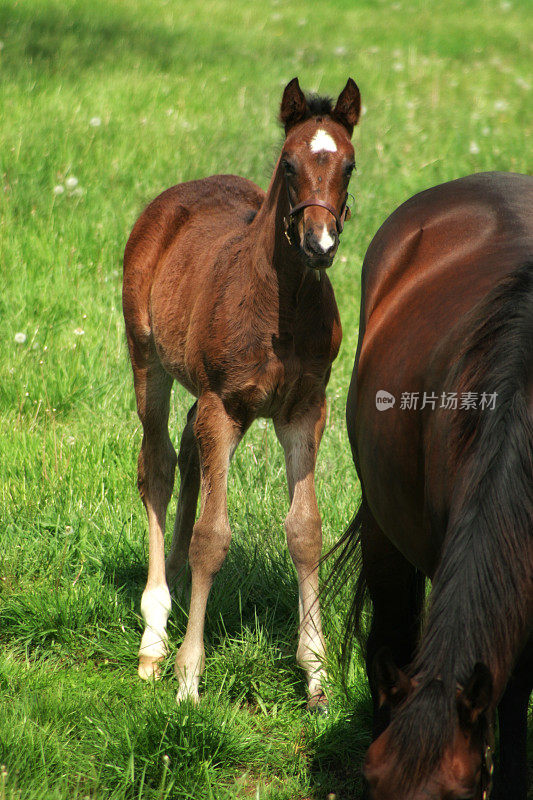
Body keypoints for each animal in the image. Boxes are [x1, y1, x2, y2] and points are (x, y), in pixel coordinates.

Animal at [122, 78, 360, 708]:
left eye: (349, 165)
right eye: (289, 163)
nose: (319, 243)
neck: (282, 305)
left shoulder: (304, 410)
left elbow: (305, 533)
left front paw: (316, 675)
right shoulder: (224, 406)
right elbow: (212, 536)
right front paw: (188, 677)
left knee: (187, 449)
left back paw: (176, 589)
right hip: (147, 357)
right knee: (157, 465)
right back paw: (154, 633)